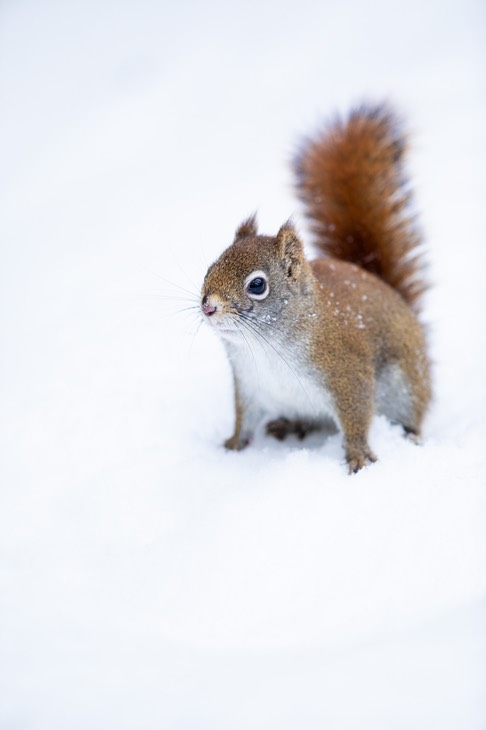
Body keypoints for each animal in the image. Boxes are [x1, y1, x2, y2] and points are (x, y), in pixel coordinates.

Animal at [199, 104, 430, 472]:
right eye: (211, 268)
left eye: (257, 284)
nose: (208, 306)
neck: (263, 347)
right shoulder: (248, 386)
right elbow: (243, 420)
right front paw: (232, 446)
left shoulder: (347, 371)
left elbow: (356, 418)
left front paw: (358, 457)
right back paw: (291, 425)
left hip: (406, 388)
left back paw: (410, 437)